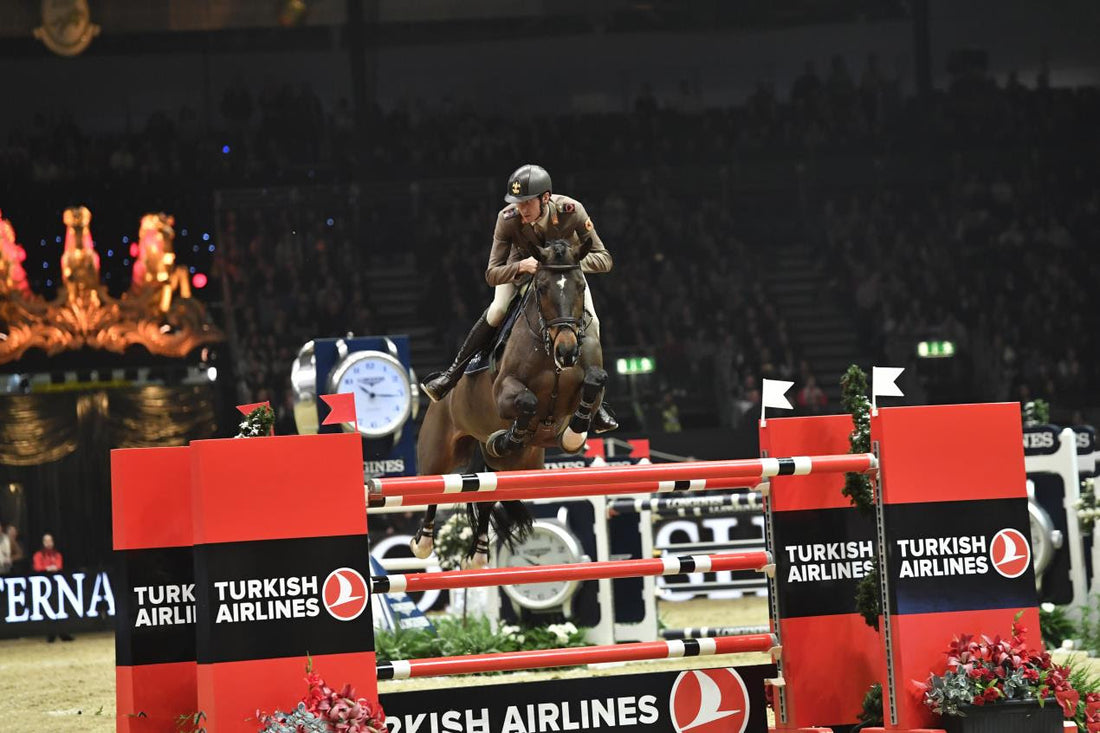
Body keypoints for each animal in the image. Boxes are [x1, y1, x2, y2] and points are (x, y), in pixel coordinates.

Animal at [413, 236, 611, 561]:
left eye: (581, 286)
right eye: (541, 287)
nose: (567, 351)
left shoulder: (589, 383)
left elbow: (595, 383)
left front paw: (573, 436)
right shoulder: (504, 393)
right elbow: (528, 402)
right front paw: (511, 435)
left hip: (517, 466)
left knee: (488, 493)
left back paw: (480, 552)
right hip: (439, 450)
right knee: (435, 484)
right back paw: (425, 541)